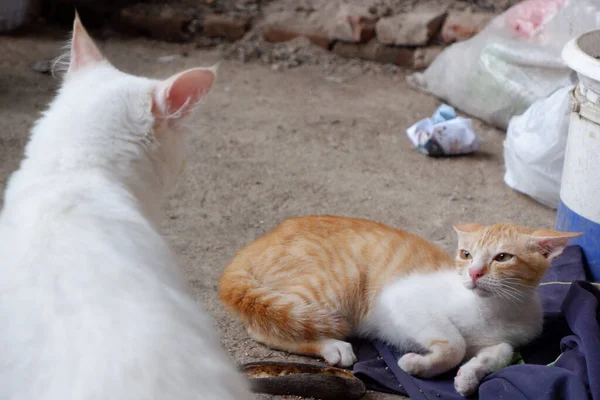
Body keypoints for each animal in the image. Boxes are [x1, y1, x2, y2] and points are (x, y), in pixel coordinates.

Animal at [220, 214, 580, 396]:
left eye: (502, 257)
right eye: (466, 255)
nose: (474, 273)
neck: (495, 309)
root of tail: (255, 244)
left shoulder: (510, 339)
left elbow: (501, 352)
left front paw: (469, 376)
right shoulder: (402, 300)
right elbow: (454, 342)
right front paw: (418, 365)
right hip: (331, 289)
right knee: (263, 328)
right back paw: (332, 345)